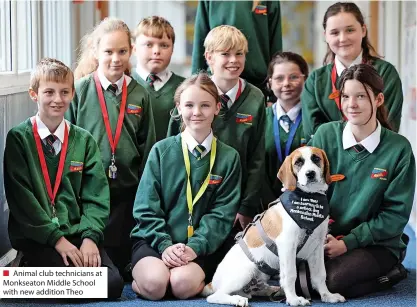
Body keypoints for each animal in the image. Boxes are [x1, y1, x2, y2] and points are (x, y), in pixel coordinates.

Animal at [201, 148, 344, 306]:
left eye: (316, 158)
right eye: (298, 162)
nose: (310, 174)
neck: (308, 197)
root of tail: (212, 282)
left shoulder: (317, 247)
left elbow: (320, 274)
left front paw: (327, 296)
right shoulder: (287, 245)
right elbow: (290, 275)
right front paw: (293, 299)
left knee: (253, 290)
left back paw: (271, 290)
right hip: (247, 270)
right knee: (215, 296)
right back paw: (238, 299)